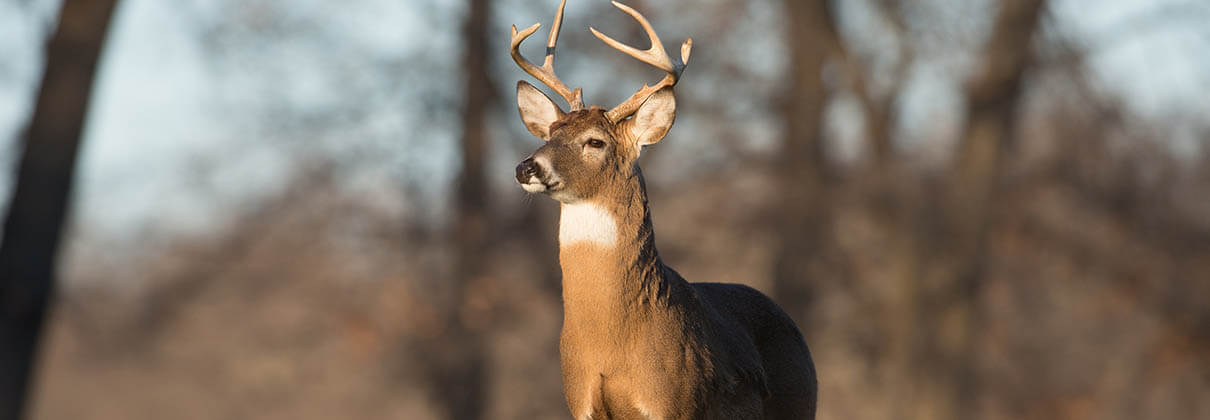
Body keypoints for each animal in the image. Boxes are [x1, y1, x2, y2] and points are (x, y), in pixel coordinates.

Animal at [511, 1, 817, 419]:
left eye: (595, 141)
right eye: (550, 134)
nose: (527, 167)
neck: (610, 342)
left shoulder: (672, 401)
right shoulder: (580, 403)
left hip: (800, 402)